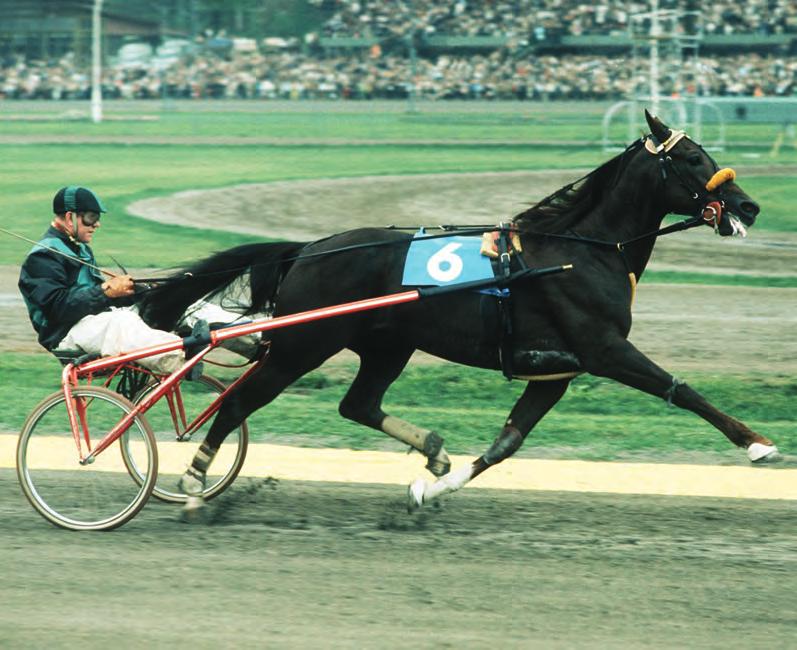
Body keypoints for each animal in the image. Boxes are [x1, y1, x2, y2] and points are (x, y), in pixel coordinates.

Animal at [137, 112, 776, 512]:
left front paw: (430, 490)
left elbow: (507, 443)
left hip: (388, 346)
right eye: (691, 157)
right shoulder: (603, 349)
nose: (748, 204)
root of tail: (310, 248)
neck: (578, 251)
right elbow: (681, 389)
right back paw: (193, 479)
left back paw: (434, 452)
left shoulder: (556, 369)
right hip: (304, 344)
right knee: (240, 401)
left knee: (357, 404)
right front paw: (757, 444)